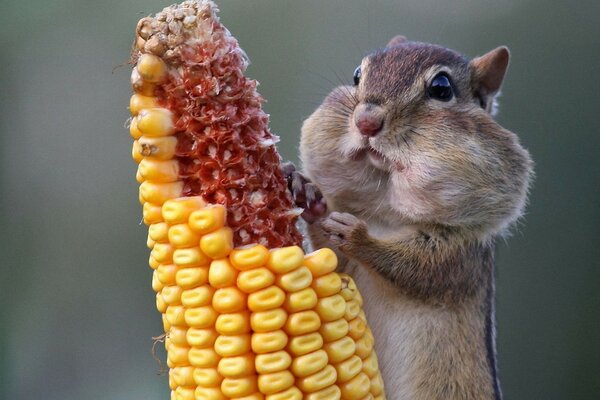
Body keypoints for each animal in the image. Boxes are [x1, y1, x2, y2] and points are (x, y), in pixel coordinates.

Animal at [284, 35, 532, 400]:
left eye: (441, 88)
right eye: (357, 75)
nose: (366, 121)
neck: (385, 214)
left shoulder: (459, 256)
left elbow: (415, 268)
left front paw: (358, 237)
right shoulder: (346, 269)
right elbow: (332, 261)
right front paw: (307, 193)